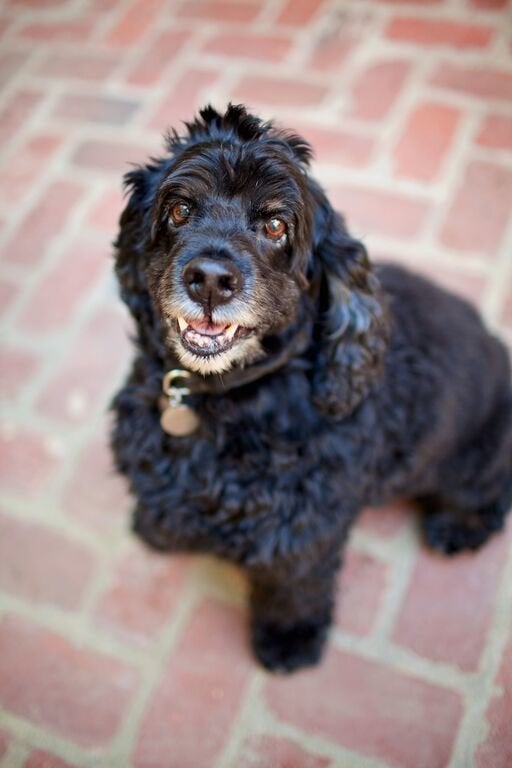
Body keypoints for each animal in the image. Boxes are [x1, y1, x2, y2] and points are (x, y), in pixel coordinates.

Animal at [111, 103, 512, 672]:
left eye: (277, 224)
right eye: (180, 210)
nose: (209, 279)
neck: (229, 398)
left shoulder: (302, 532)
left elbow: (295, 589)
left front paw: (290, 639)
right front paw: (156, 527)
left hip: (470, 463)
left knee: (491, 496)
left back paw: (456, 528)